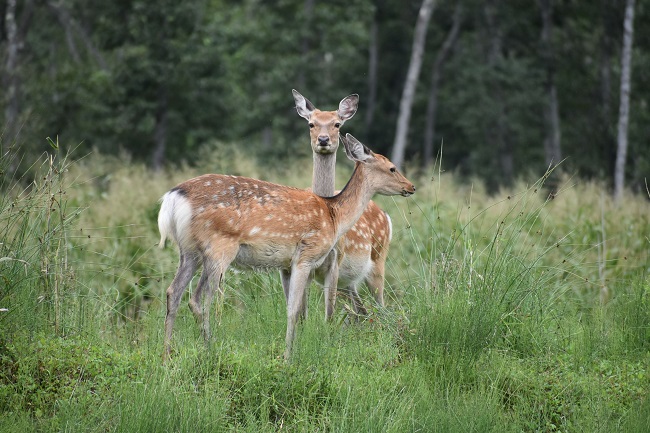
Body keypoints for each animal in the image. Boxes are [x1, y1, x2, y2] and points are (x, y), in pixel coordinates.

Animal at [156, 133, 416, 360]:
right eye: (392, 167)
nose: (411, 187)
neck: (334, 216)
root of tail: (172, 198)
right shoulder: (306, 255)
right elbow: (293, 310)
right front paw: (288, 356)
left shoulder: (287, 265)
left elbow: (298, 310)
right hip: (220, 247)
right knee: (203, 299)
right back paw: (209, 348)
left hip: (190, 251)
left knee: (174, 292)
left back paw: (167, 355)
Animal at [292, 89, 392, 318]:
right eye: (311, 124)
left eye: (337, 124)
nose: (323, 139)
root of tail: (386, 216)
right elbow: (302, 311)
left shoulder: (336, 261)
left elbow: (329, 311)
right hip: (350, 281)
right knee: (361, 310)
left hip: (377, 260)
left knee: (380, 306)